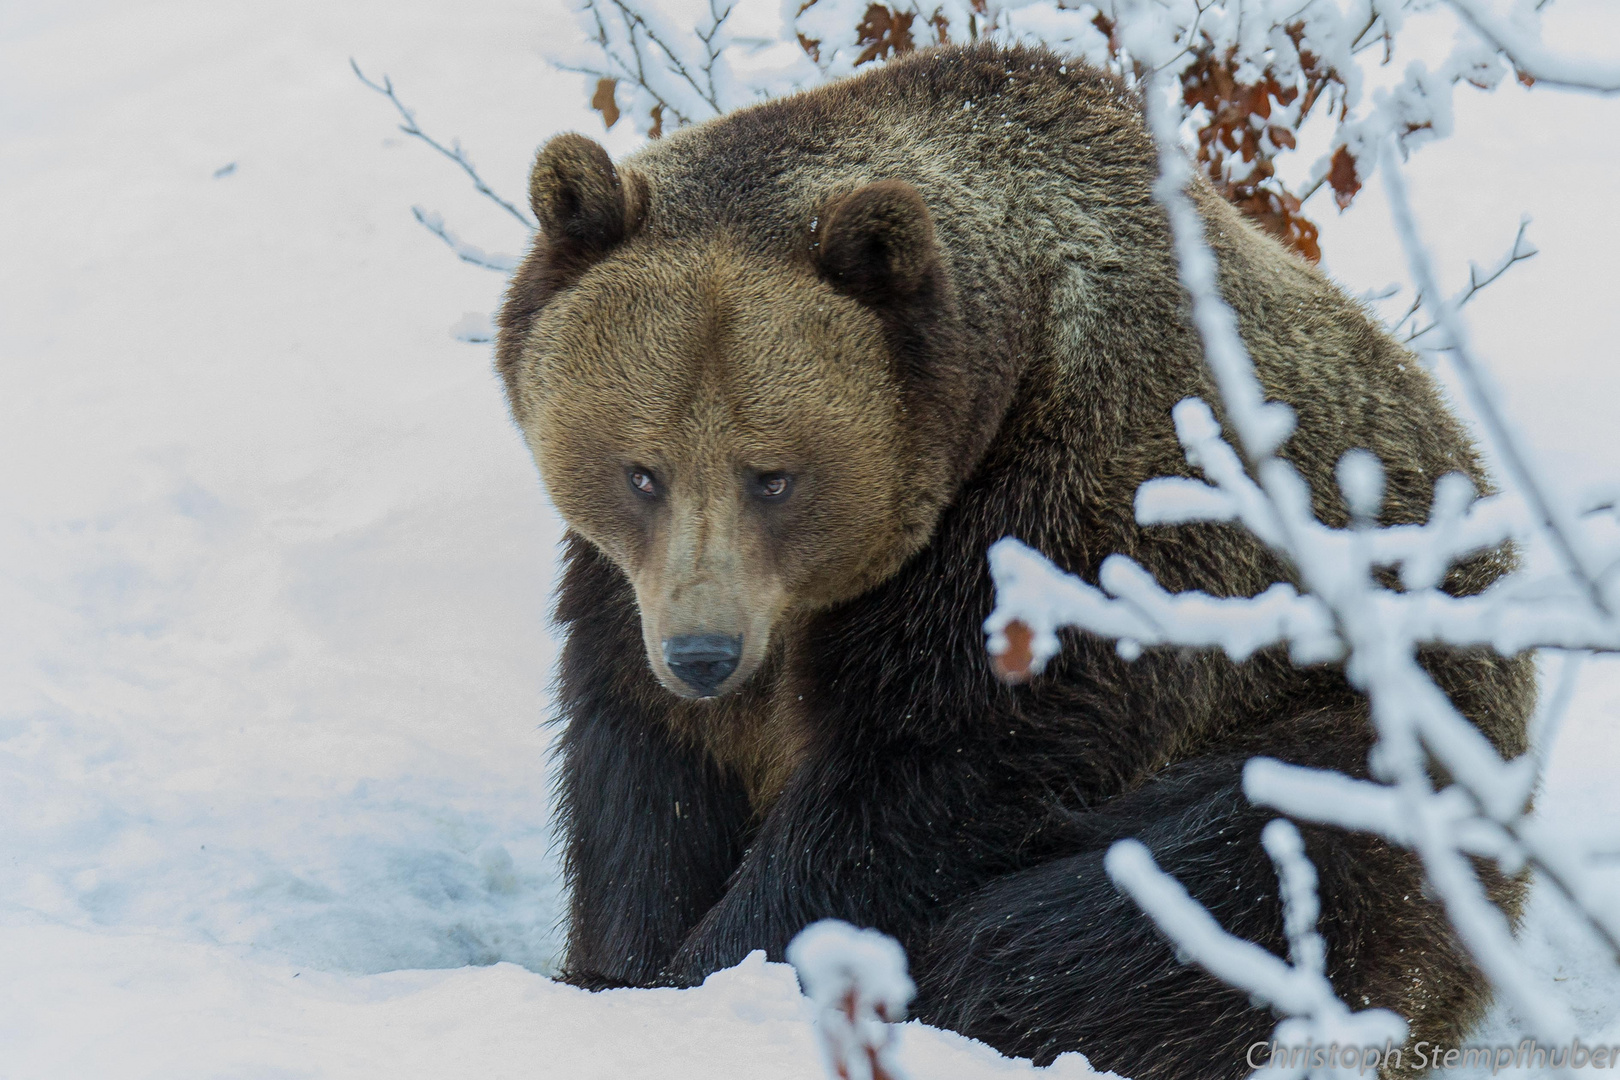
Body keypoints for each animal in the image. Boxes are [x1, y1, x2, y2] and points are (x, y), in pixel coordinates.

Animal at [489, 42, 1529, 1080]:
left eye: (774, 476)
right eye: (641, 471)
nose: (705, 653)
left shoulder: (1070, 535)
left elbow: (909, 794)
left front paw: (719, 970)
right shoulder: (632, 595)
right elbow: (645, 778)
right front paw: (618, 967)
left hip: (1380, 721)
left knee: (1218, 881)